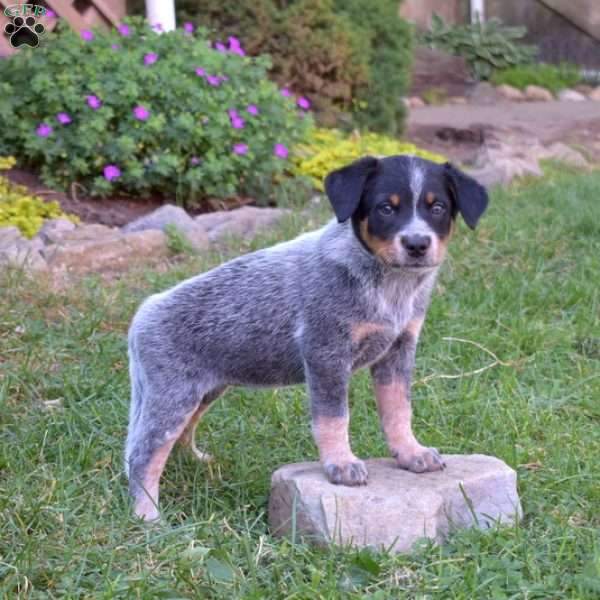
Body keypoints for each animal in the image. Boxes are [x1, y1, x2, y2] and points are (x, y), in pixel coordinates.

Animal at [125, 156, 488, 520]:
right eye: (386, 208)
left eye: (437, 207)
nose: (416, 244)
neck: (387, 284)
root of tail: (142, 314)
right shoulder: (325, 351)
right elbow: (334, 417)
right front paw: (341, 464)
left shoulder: (398, 350)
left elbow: (399, 409)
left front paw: (411, 453)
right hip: (173, 395)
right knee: (143, 454)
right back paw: (147, 514)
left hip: (205, 391)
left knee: (180, 436)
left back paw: (197, 463)